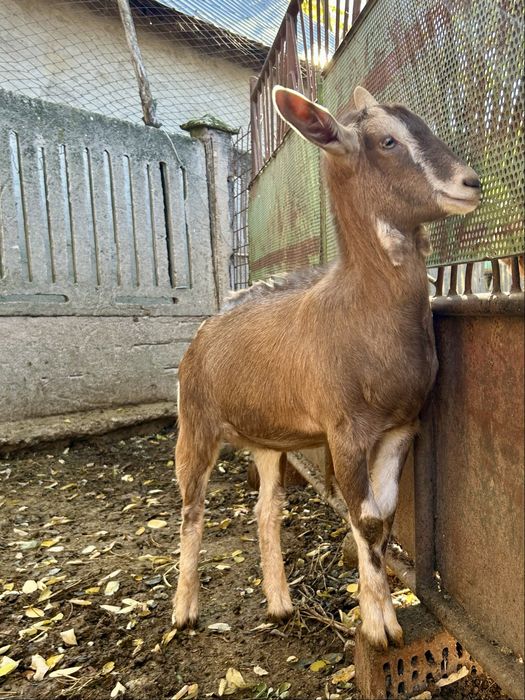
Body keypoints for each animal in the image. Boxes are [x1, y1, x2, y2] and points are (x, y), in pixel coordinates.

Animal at [172, 85, 481, 649]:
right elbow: (365, 519)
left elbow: (381, 518)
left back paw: (280, 604)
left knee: (266, 510)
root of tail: (202, 330)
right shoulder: (344, 430)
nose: (469, 183)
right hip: (195, 421)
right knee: (191, 509)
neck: (359, 312)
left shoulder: (401, 426)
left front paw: (372, 612)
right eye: (387, 141)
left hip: (268, 437)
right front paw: (382, 628)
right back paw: (184, 611)